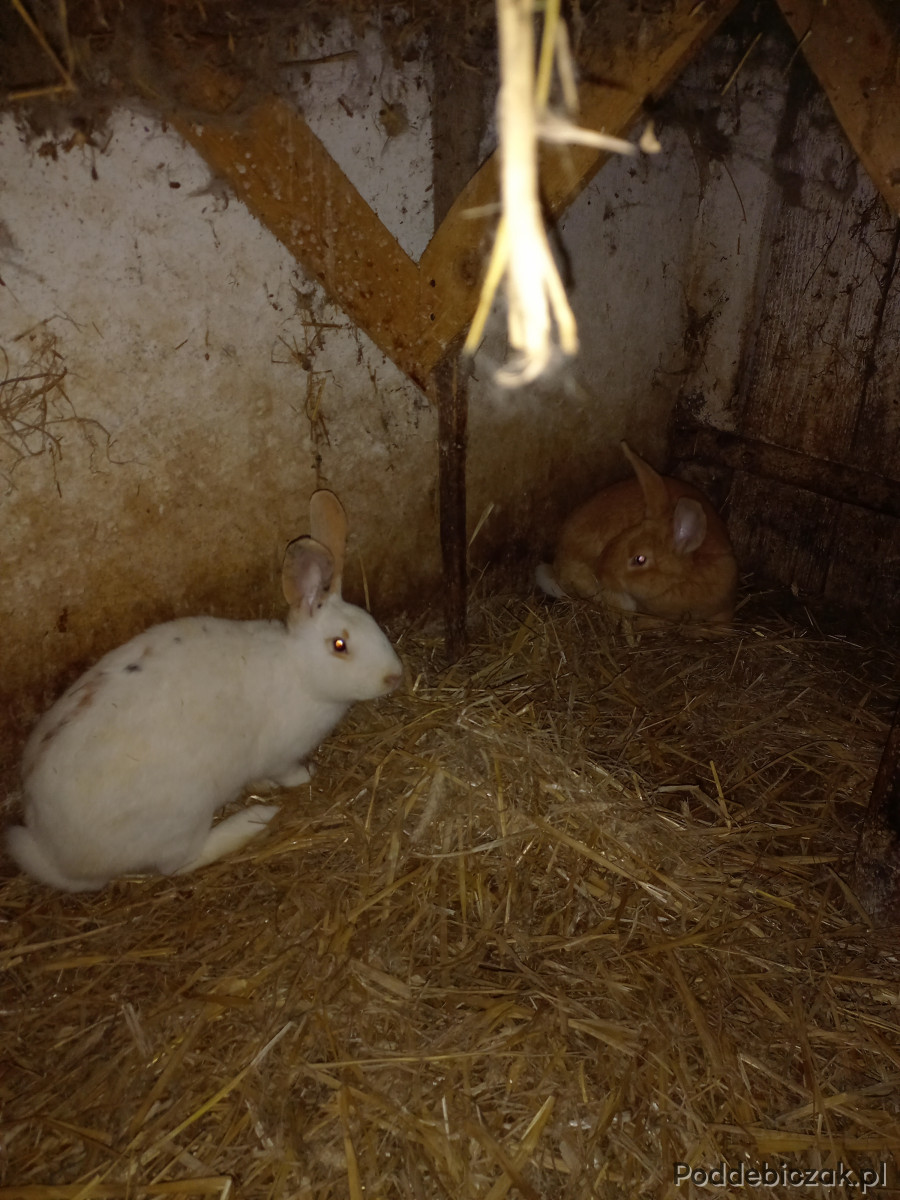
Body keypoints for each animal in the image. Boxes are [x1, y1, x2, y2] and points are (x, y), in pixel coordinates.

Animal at [6, 490, 403, 892]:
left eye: (372, 624)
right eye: (339, 645)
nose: (395, 676)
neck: (297, 668)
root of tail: (60, 858)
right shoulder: (281, 754)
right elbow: (287, 772)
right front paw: (305, 777)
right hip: (181, 815)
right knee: (178, 864)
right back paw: (255, 818)